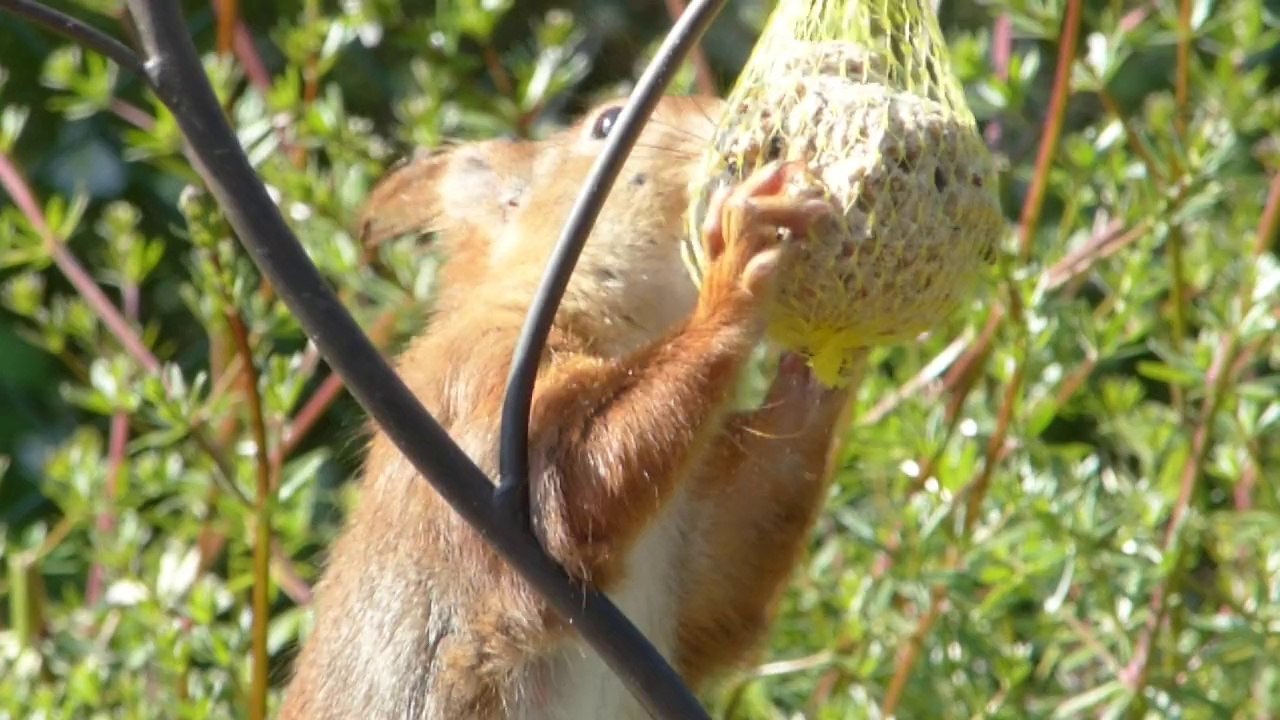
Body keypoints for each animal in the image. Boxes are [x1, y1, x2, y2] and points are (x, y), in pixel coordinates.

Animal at [279, 94, 857, 720]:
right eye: (608, 121)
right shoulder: (479, 387)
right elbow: (569, 490)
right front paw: (737, 266)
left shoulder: (692, 552)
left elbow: (723, 573)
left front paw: (823, 370)